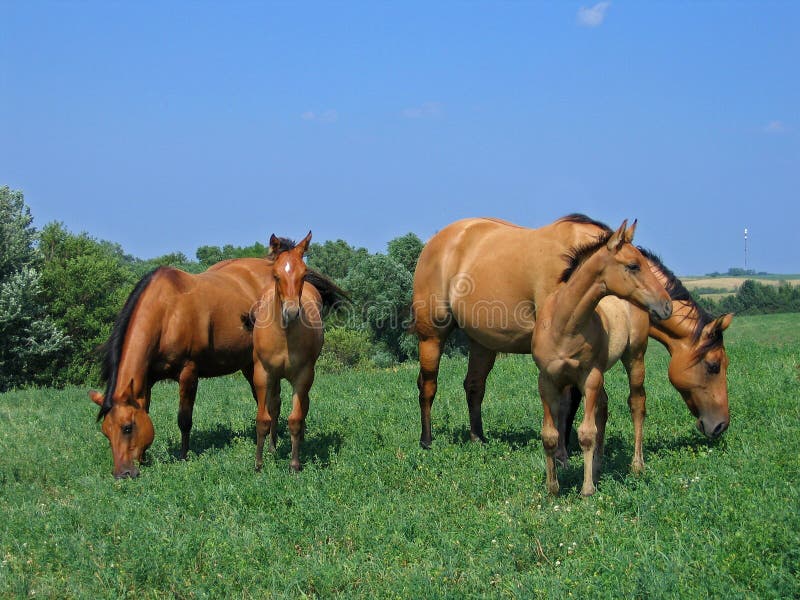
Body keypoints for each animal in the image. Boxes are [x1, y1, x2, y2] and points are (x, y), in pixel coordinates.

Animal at [245, 232, 342, 472]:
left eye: (304, 273)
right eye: (276, 275)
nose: (291, 311)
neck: (284, 336)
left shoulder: (303, 375)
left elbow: (296, 419)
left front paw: (294, 463)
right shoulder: (262, 374)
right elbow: (263, 418)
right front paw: (259, 463)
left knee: (303, 405)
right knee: (274, 405)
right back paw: (272, 447)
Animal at [412, 216, 732, 468]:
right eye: (713, 366)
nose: (720, 426)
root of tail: (438, 241)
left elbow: (576, 401)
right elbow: (565, 402)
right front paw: (563, 455)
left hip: (483, 343)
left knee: (474, 387)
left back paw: (478, 438)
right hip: (432, 335)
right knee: (428, 385)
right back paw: (426, 441)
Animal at [536, 220, 672, 496]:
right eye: (633, 265)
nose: (667, 306)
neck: (564, 326)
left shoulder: (590, 377)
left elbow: (586, 433)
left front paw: (587, 489)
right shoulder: (547, 380)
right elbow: (550, 435)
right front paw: (552, 487)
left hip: (634, 357)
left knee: (637, 403)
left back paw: (636, 465)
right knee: (604, 406)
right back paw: (598, 467)